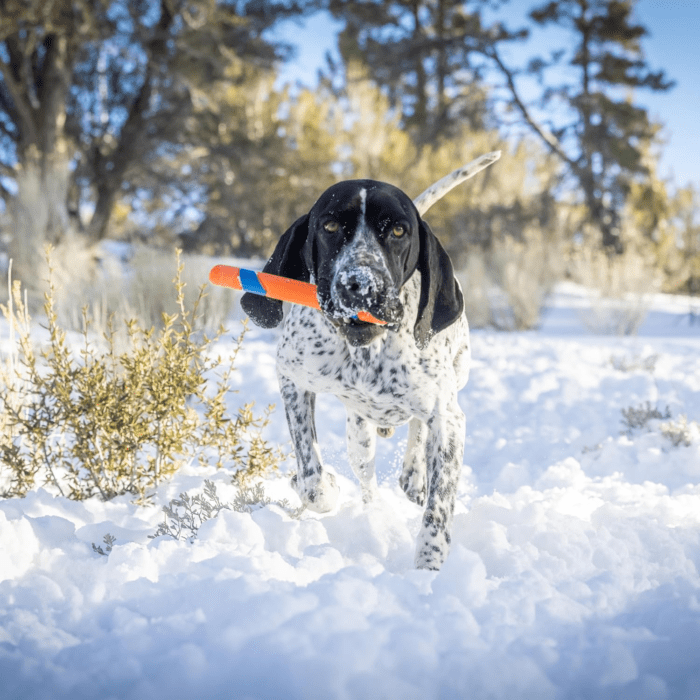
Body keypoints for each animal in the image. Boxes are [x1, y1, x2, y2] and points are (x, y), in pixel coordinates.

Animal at [241, 160, 492, 568]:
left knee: (418, 433)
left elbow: (438, 511)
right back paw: (373, 513)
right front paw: (321, 485)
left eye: (399, 230)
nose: (360, 284)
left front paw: (429, 569)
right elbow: (311, 478)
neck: (365, 353)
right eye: (329, 226)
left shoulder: (449, 419)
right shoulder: (292, 378)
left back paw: (414, 476)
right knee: (368, 482)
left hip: (455, 378)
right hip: (359, 436)